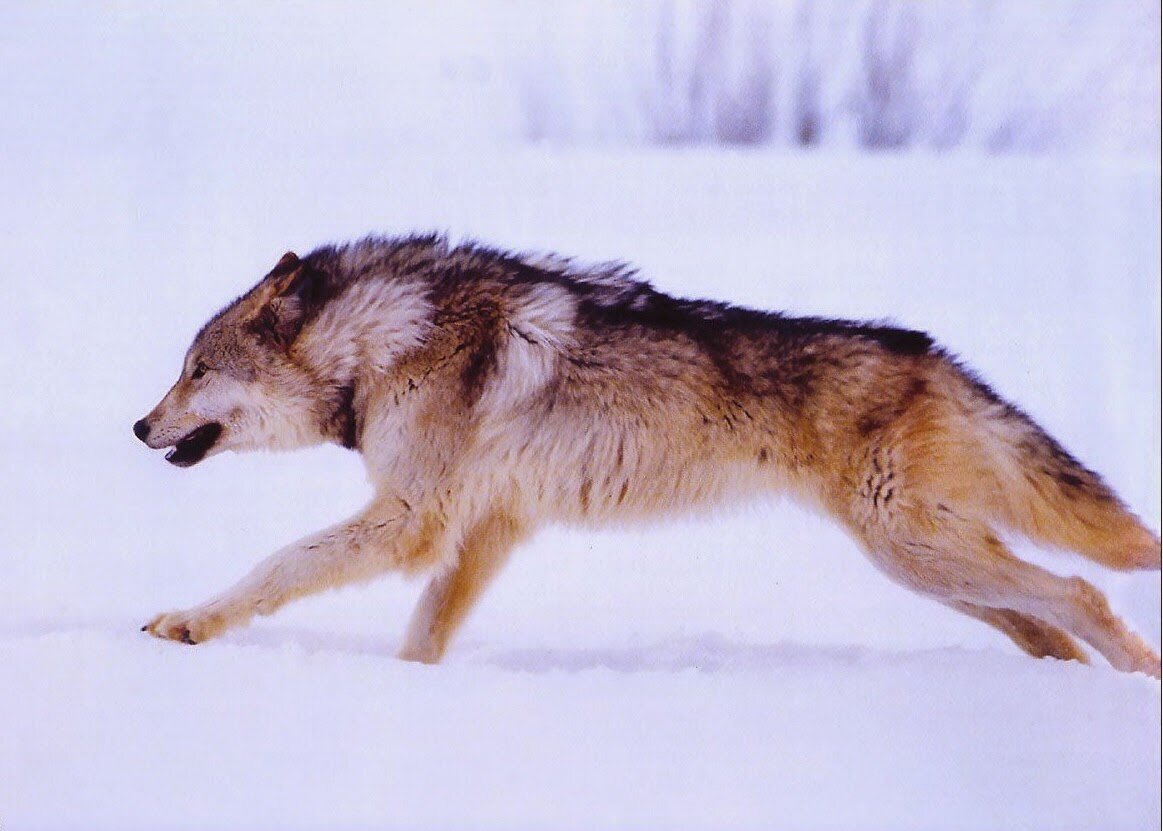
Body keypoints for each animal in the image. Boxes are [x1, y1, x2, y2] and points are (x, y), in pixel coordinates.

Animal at [132, 233, 1158, 674]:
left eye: (193, 370)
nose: (138, 428)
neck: (380, 343)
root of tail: (931, 353)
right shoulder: (490, 524)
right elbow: (424, 631)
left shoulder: (411, 520)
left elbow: (275, 566)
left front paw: (187, 623)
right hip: (925, 567)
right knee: (1044, 624)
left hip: (917, 551)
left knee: (1081, 592)